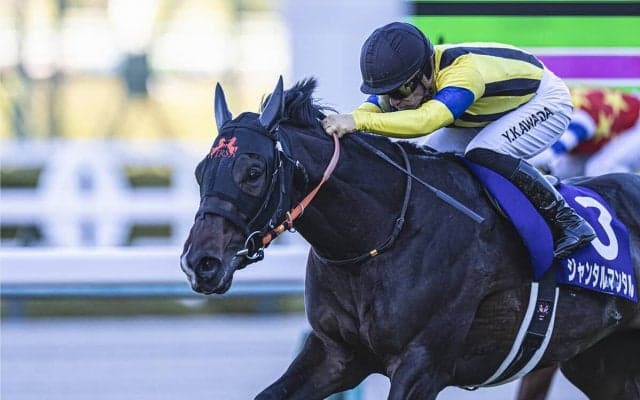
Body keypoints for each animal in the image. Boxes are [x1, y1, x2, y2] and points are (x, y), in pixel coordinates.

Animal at [180, 77, 640, 399]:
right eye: (201, 171)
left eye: (253, 171)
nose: (199, 262)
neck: (375, 239)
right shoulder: (335, 352)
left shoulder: (423, 365)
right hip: (600, 361)